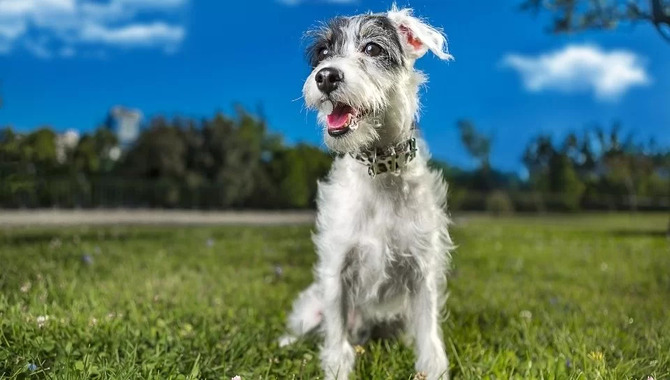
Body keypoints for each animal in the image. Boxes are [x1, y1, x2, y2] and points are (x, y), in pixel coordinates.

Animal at [278, 5, 456, 380]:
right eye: (323, 53)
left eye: (373, 48)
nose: (325, 77)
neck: (380, 170)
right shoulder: (336, 268)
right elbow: (336, 340)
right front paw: (336, 365)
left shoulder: (423, 270)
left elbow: (430, 339)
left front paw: (432, 368)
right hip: (311, 309)